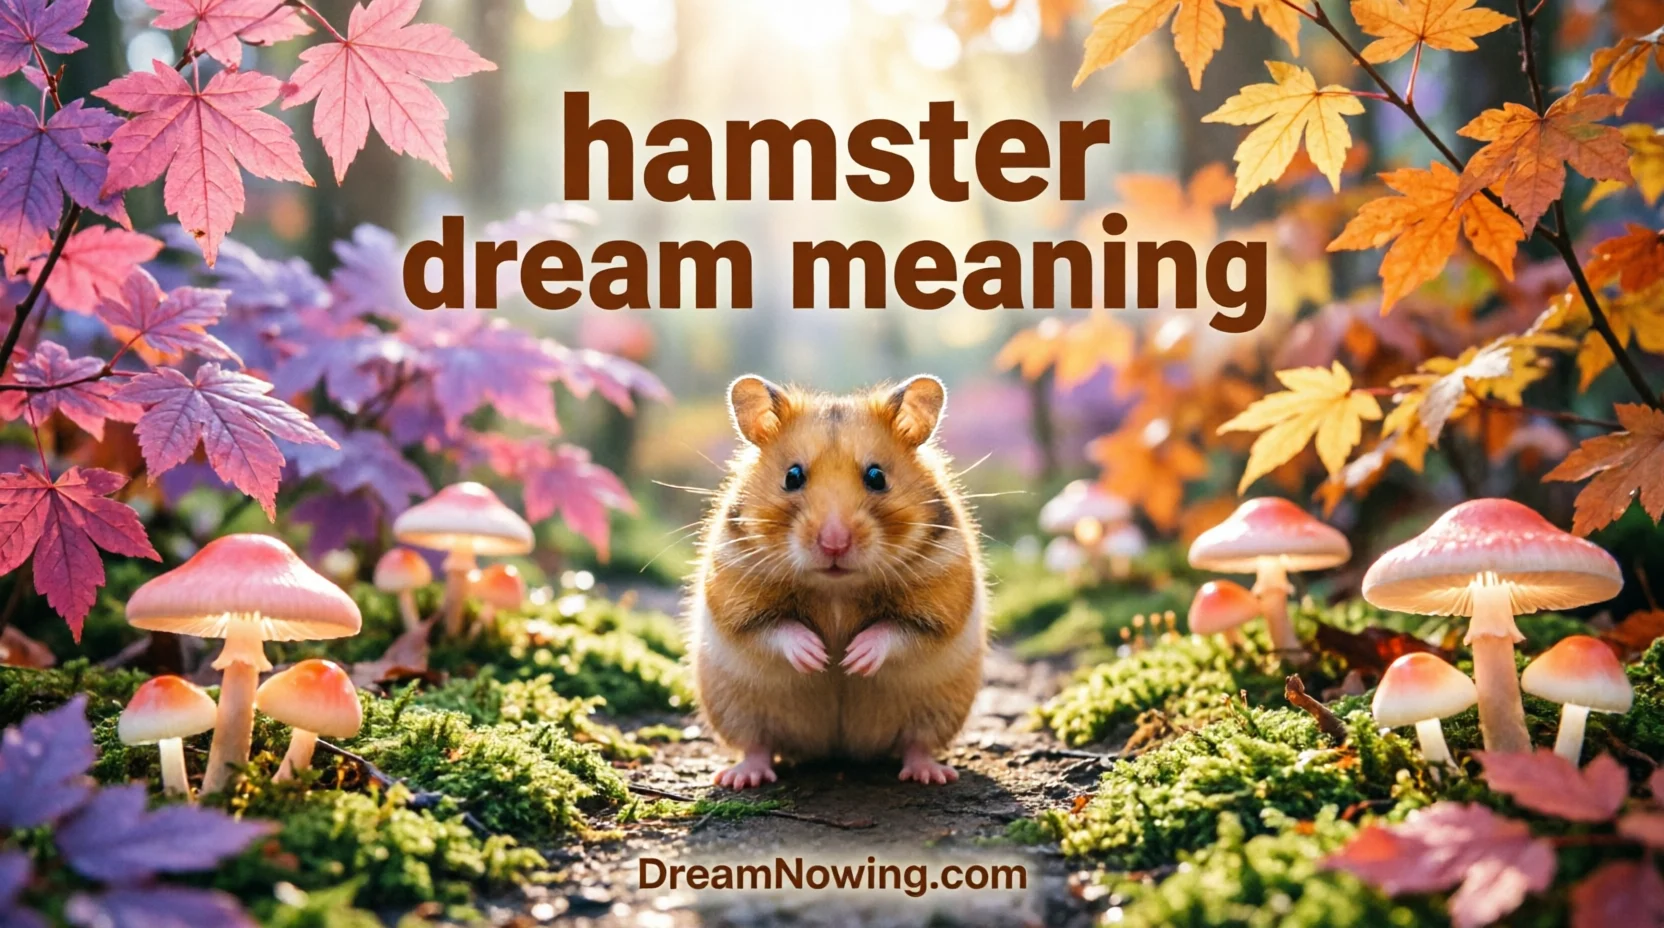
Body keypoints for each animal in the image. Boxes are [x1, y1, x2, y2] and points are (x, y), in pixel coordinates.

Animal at [688, 374, 987, 789]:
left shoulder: (941, 603)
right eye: (792, 476)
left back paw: (930, 774)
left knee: (917, 743)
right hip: (735, 708)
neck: (837, 590)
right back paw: (741, 778)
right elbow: (774, 627)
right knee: (757, 744)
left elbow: (897, 630)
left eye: (877, 477)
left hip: (939, 709)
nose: (834, 543)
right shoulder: (736, 598)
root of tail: (839, 751)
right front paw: (819, 657)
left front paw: (851, 659)